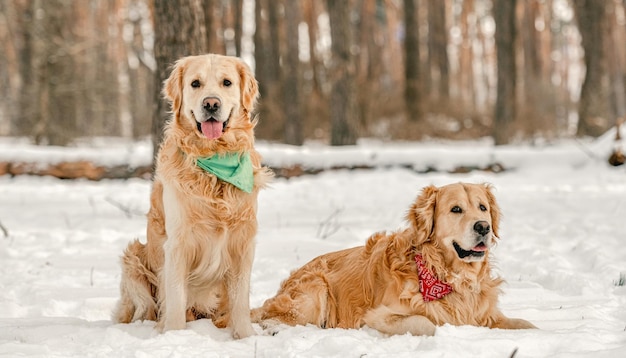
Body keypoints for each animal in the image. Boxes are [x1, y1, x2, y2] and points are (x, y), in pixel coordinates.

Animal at [114, 53, 270, 338]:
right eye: (195, 83)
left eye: (227, 82)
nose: (211, 104)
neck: (215, 159)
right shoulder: (178, 244)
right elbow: (176, 298)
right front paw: (174, 336)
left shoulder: (243, 241)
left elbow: (240, 301)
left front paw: (245, 337)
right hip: (134, 259)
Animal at [251, 183, 532, 338]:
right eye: (456, 209)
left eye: (483, 207)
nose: (483, 227)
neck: (446, 276)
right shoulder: (378, 315)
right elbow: (427, 323)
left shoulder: (485, 315)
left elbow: (527, 324)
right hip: (315, 289)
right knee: (270, 317)